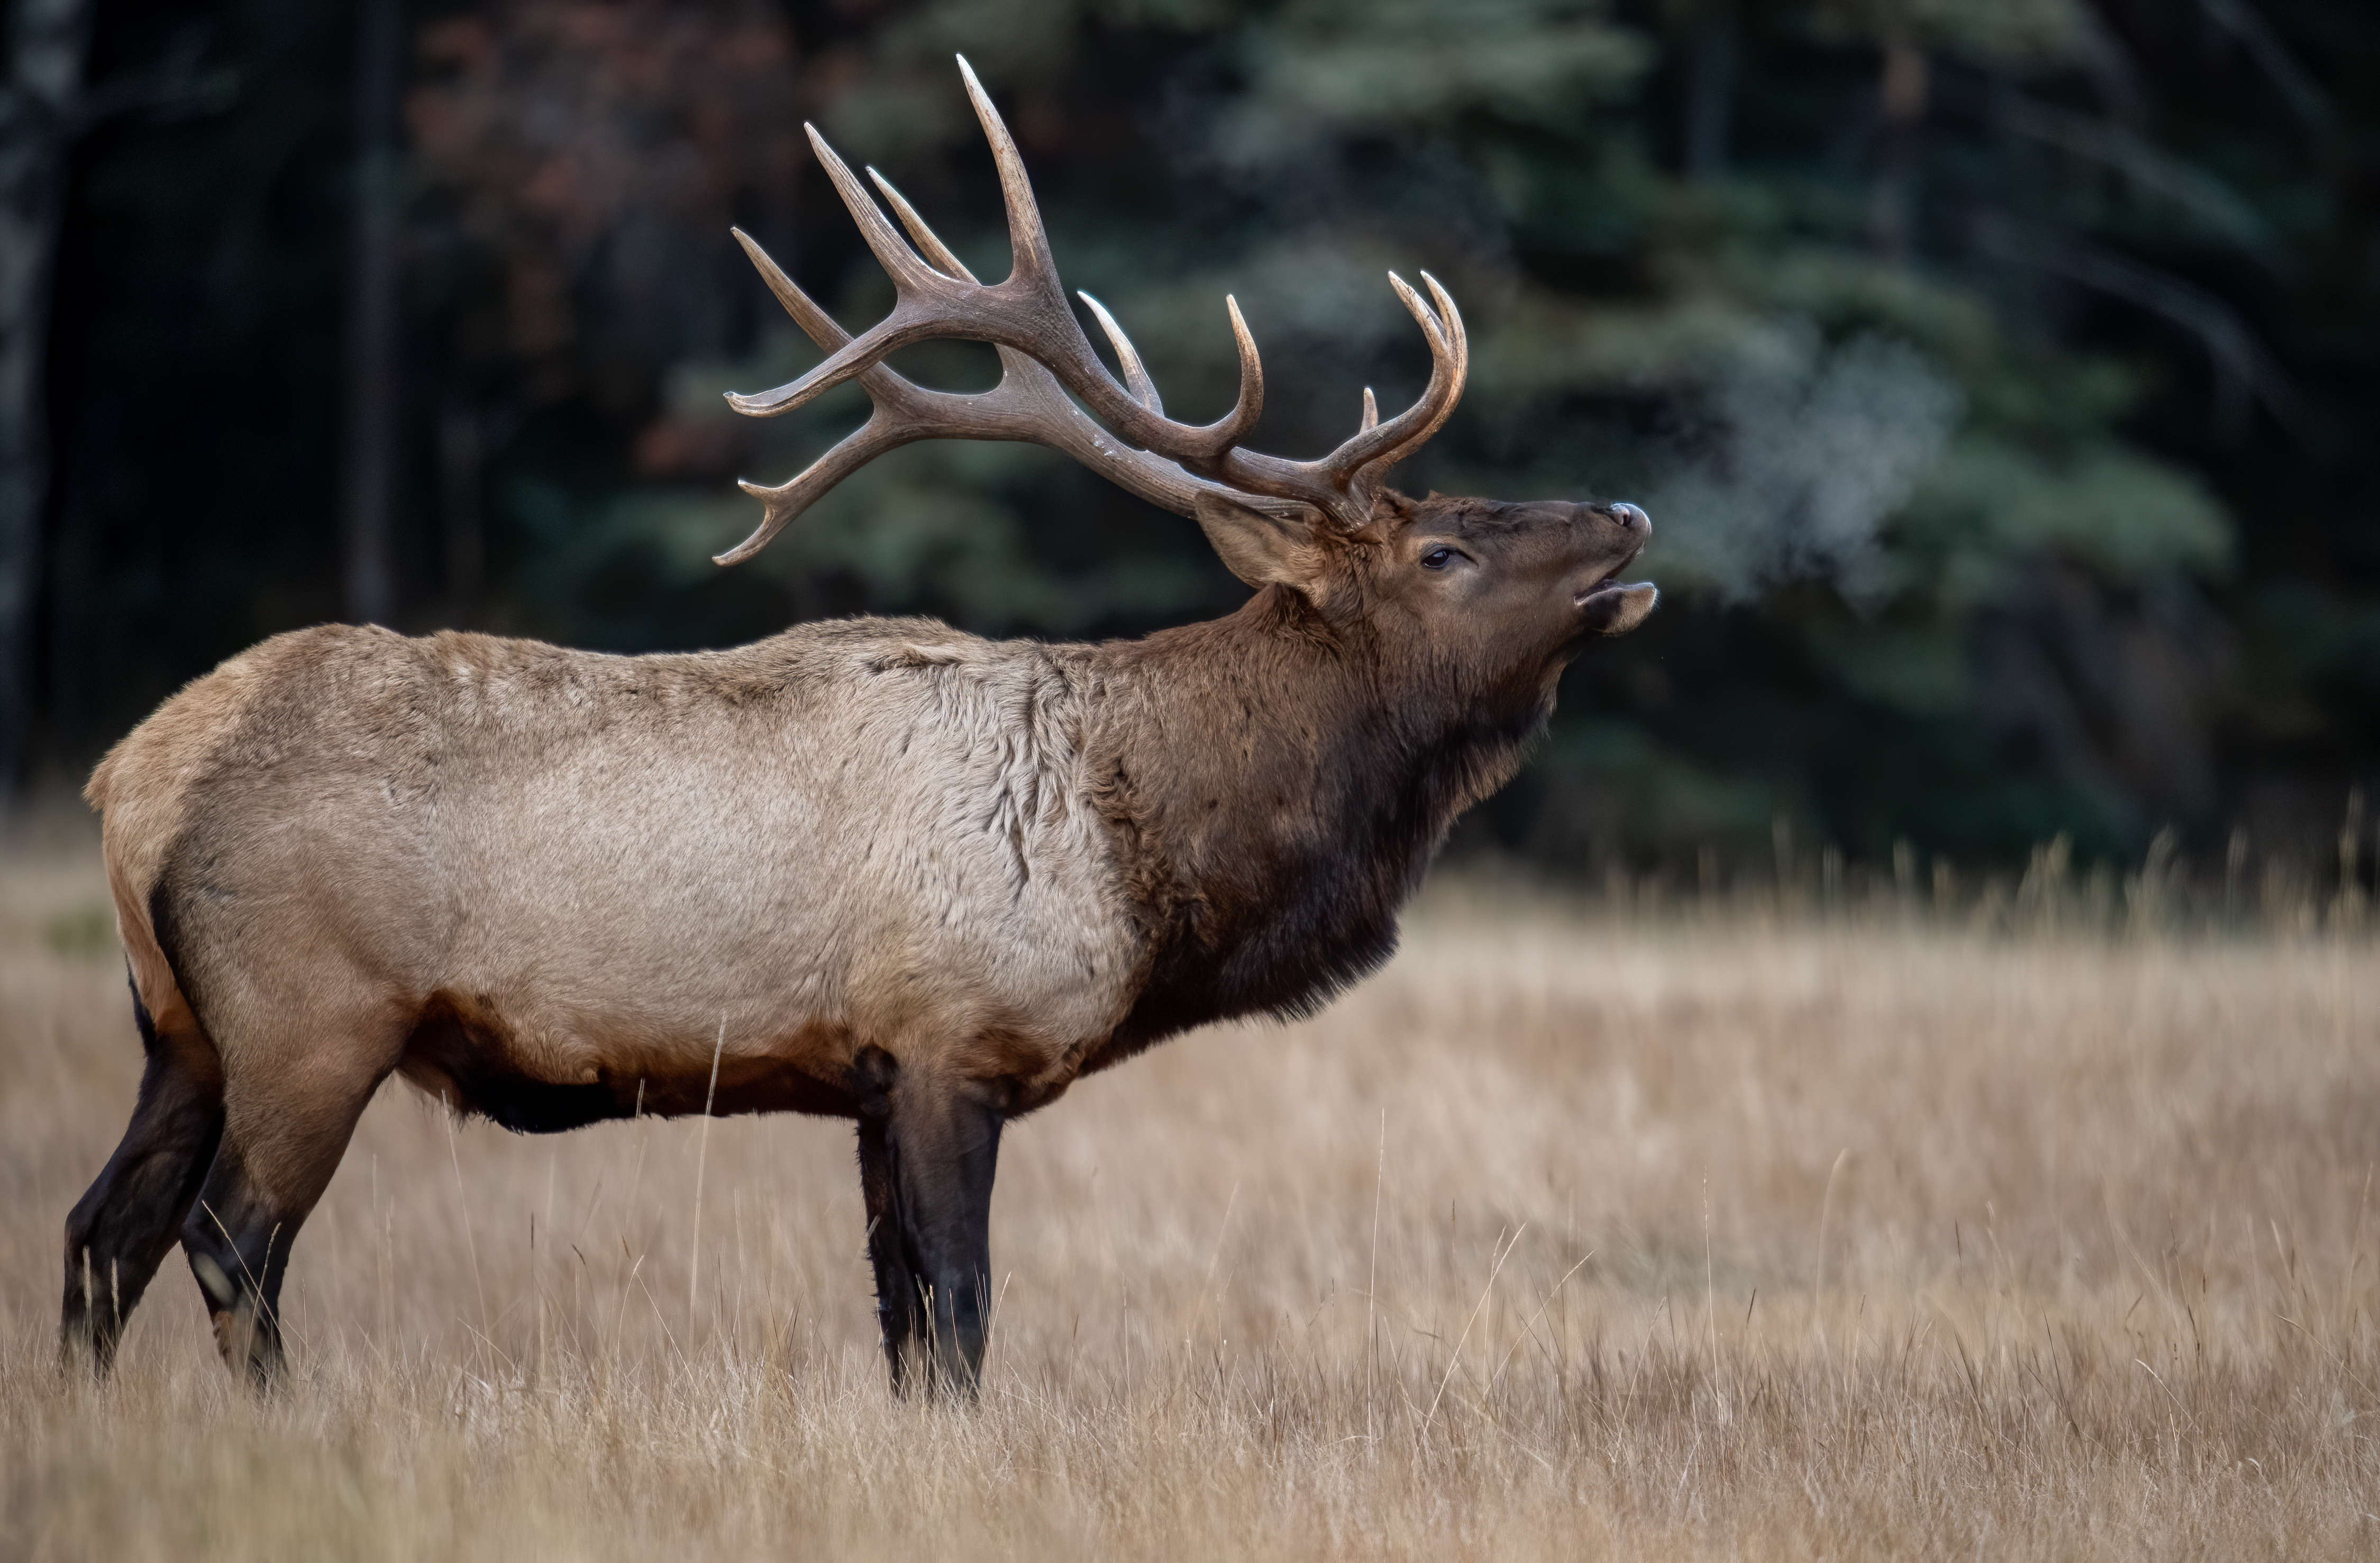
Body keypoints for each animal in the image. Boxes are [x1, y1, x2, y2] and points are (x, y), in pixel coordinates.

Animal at [60, 58, 1655, 1397]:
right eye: (1443, 549)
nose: (1629, 514)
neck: (1153, 848)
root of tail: (130, 777)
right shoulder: (953, 1037)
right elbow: (958, 1309)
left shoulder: (869, 1082)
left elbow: (899, 1321)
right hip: (311, 1017)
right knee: (229, 1241)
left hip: (178, 1032)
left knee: (99, 1231)